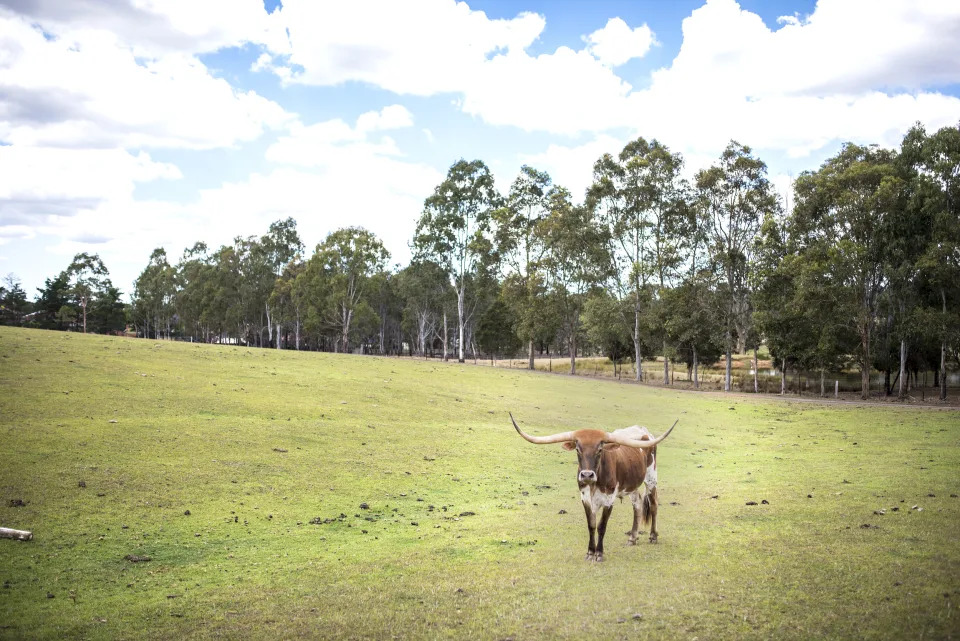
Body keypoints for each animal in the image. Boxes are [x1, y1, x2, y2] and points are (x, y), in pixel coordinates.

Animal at [510, 416, 676, 560]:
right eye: (578, 449)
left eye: (600, 450)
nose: (587, 475)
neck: (594, 484)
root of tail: (643, 430)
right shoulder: (585, 498)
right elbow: (591, 525)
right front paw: (590, 552)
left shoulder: (609, 499)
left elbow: (602, 526)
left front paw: (599, 553)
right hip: (631, 484)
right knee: (638, 504)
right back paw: (632, 538)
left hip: (651, 478)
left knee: (653, 504)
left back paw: (653, 536)